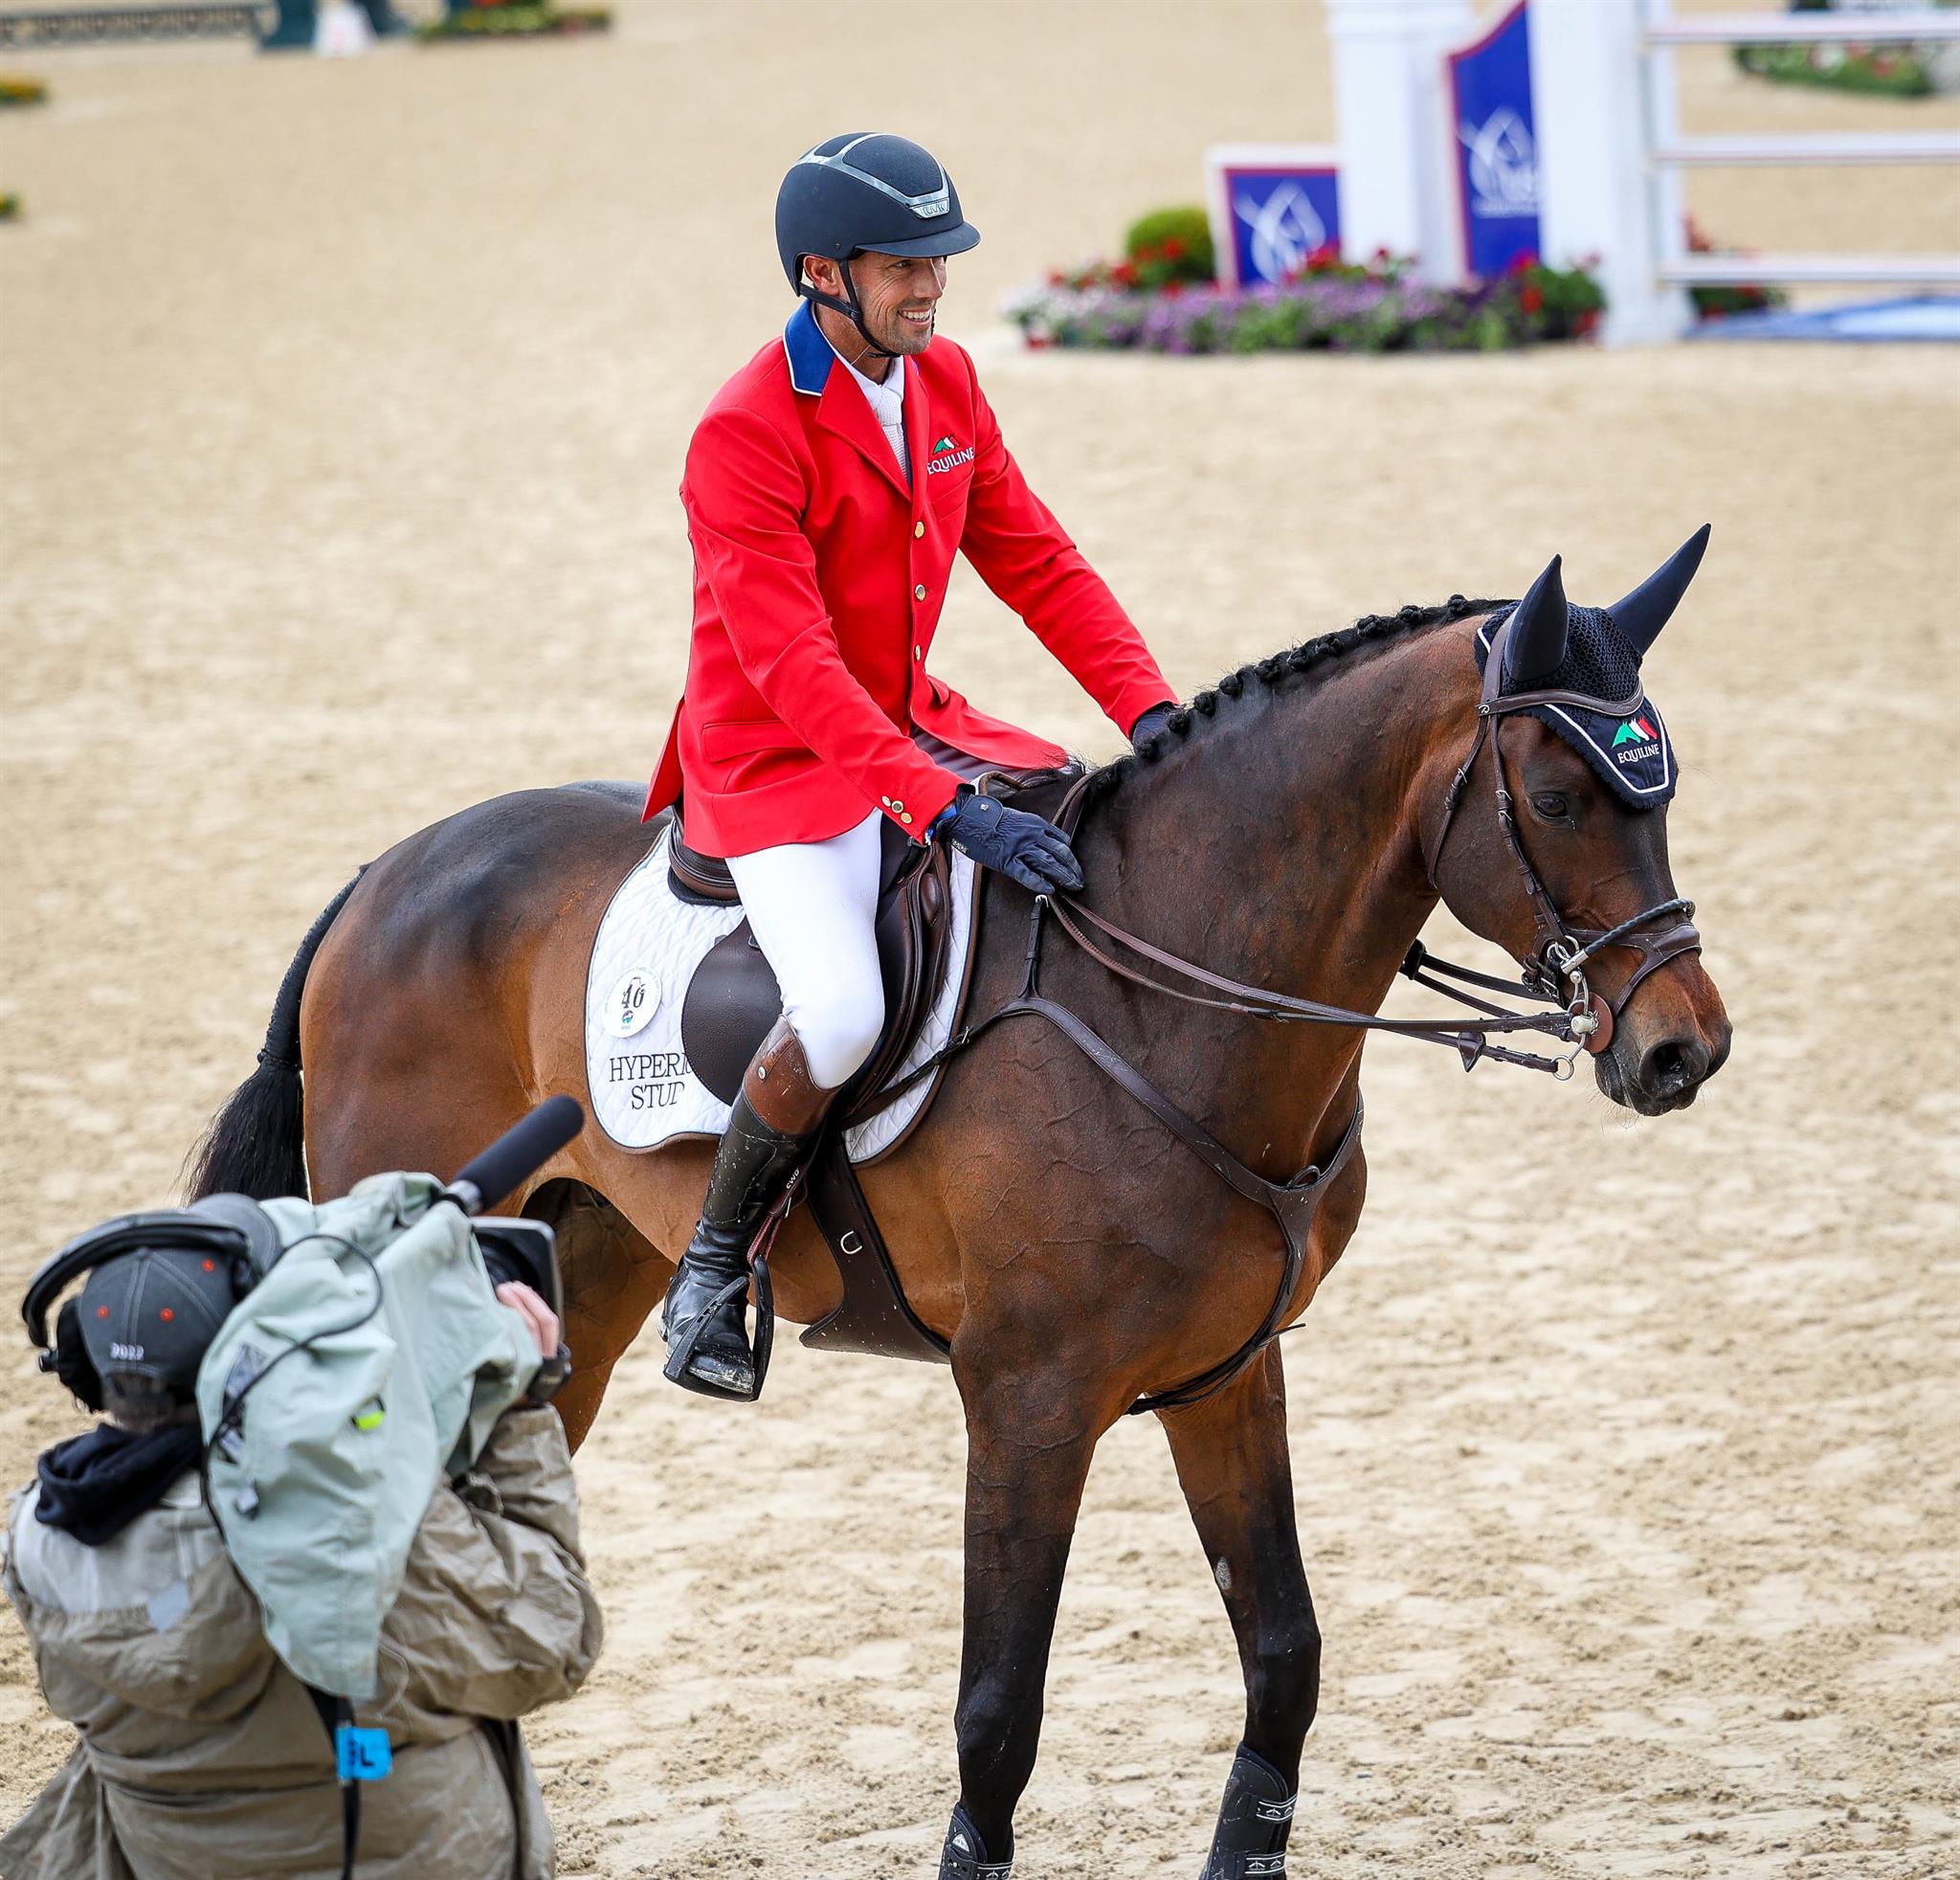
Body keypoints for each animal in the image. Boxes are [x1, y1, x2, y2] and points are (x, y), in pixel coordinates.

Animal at [190, 552, 1732, 1873]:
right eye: (1562, 798)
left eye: (1660, 794)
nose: (1683, 1051)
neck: (1167, 997)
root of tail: (387, 873)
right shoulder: (1028, 1397)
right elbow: (997, 1712)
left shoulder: (1227, 1377)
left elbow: (1284, 1656)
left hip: (587, 1262)